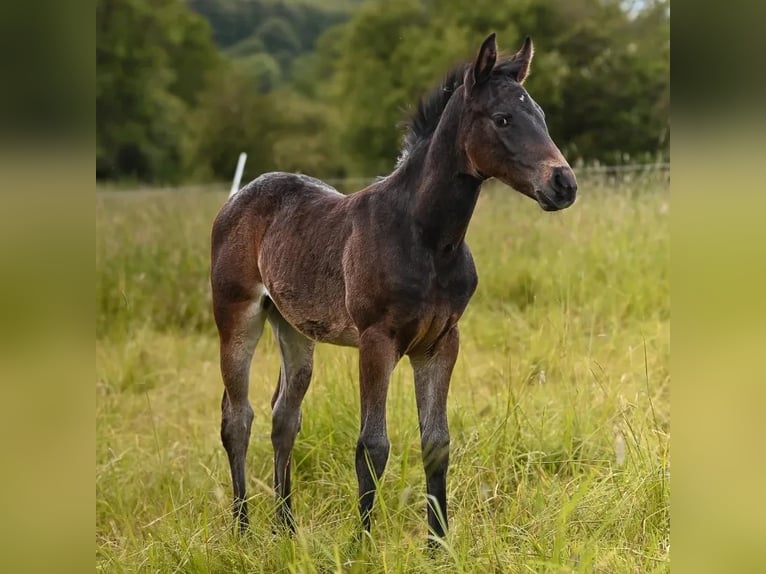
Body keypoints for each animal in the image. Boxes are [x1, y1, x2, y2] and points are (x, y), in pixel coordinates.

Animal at [210, 33, 576, 548]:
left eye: (540, 114)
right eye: (503, 118)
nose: (563, 183)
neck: (428, 238)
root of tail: (240, 196)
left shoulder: (441, 342)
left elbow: (437, 443)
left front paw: (439, 546)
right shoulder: (376, 340)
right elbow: (373, 444)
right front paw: (361, 544)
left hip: (293, 327)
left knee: (284, 416)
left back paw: (286, 528)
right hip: (237, 316)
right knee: (237, 417)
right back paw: (243, 529)